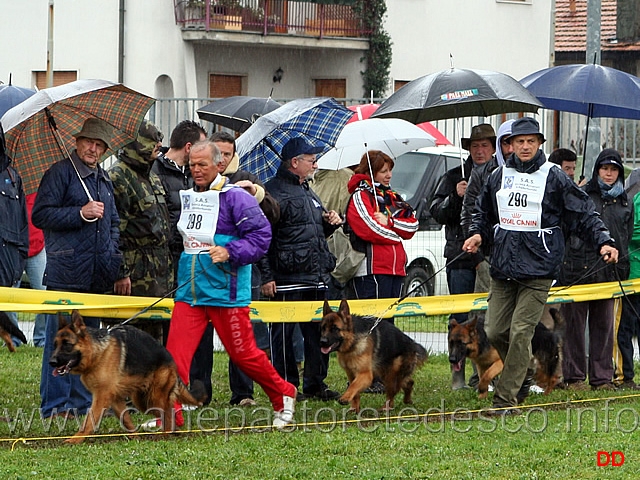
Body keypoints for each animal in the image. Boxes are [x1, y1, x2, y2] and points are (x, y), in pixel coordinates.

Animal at [50, 312, 205, 442]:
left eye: (67, 345)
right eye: (55, 345)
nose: (51, 362)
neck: (97, 352)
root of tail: (171, 360)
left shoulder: (101, 397)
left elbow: (89, 420)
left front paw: (75, 439)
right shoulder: (114, 398)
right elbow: (125, 419)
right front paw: (135, 437)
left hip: (155, 397)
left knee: (168, 413)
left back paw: (166, 435)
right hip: (143, 401)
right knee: (166, 413)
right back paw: (173, 431)